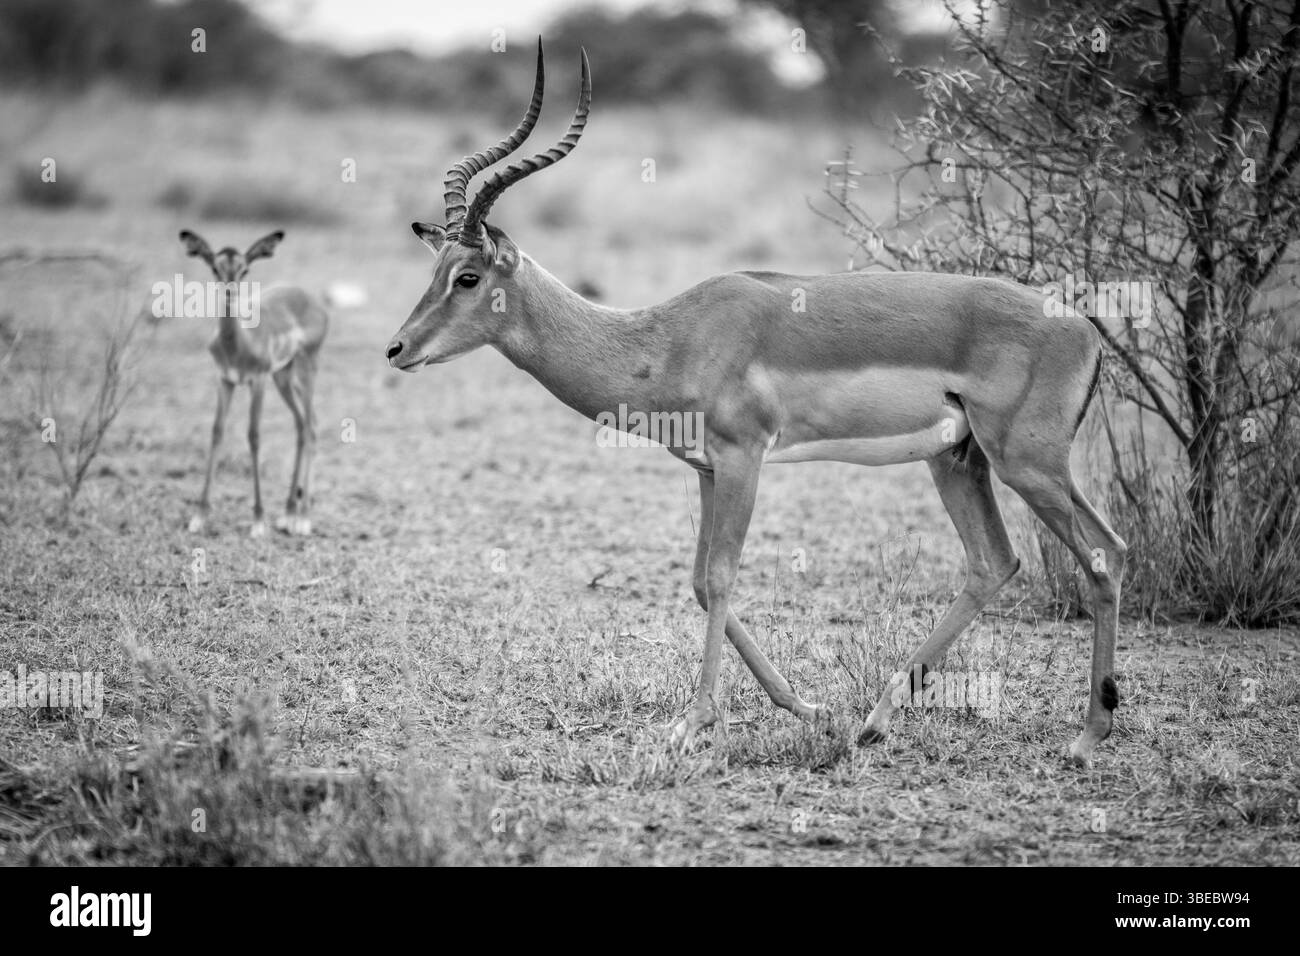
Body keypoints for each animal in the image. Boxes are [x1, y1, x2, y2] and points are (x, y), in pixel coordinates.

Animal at [179, 230, 328, 538]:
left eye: (244, 269)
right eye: (215, 268)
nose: (229, 291)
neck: (238, 342)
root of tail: (313, 300)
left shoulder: (257, 381)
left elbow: (254, 436)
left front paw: (258, 521)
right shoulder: (225, 380)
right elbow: (216, 433)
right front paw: (199, 517)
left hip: (306, 369)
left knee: (310, 426)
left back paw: (303, 519)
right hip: (283, 377)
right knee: (302, 424)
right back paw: (288, 513)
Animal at [386, 42, 1125, 768]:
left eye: (468, 277)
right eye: (435, 270)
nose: (396, 349)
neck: (666, 337)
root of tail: (1085, 324)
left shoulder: (744, 457)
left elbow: (719, 577)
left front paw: (690, 726)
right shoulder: (708, 468)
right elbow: (696, 580)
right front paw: (807, 708)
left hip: (1026, 462)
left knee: (1104, 553)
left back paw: (1088, 736)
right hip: (958, 459)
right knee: (994, 562)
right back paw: (872, 725)